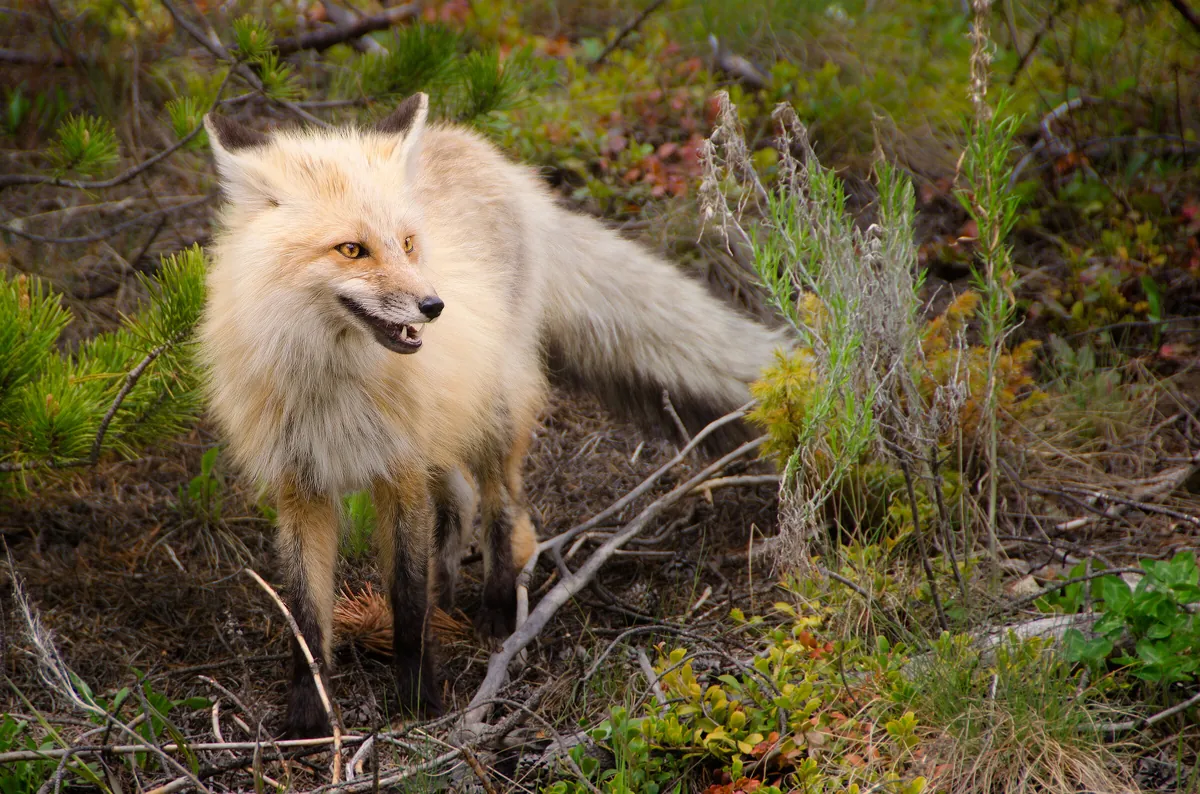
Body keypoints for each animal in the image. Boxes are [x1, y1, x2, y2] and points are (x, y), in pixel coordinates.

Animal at [199, 92, 786, 739]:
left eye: (408, 243)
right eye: (351, 249)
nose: (434, 306)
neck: (333, 384)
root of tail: (489, 155)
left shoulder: (400, 471)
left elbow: (407, 598)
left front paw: (418, 700)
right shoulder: (301, 485)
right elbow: (305, 617)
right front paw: (308, 717)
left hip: (495, 413)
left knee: (506, 511)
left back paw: (500, 612)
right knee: (460, 504)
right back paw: (452, 599)